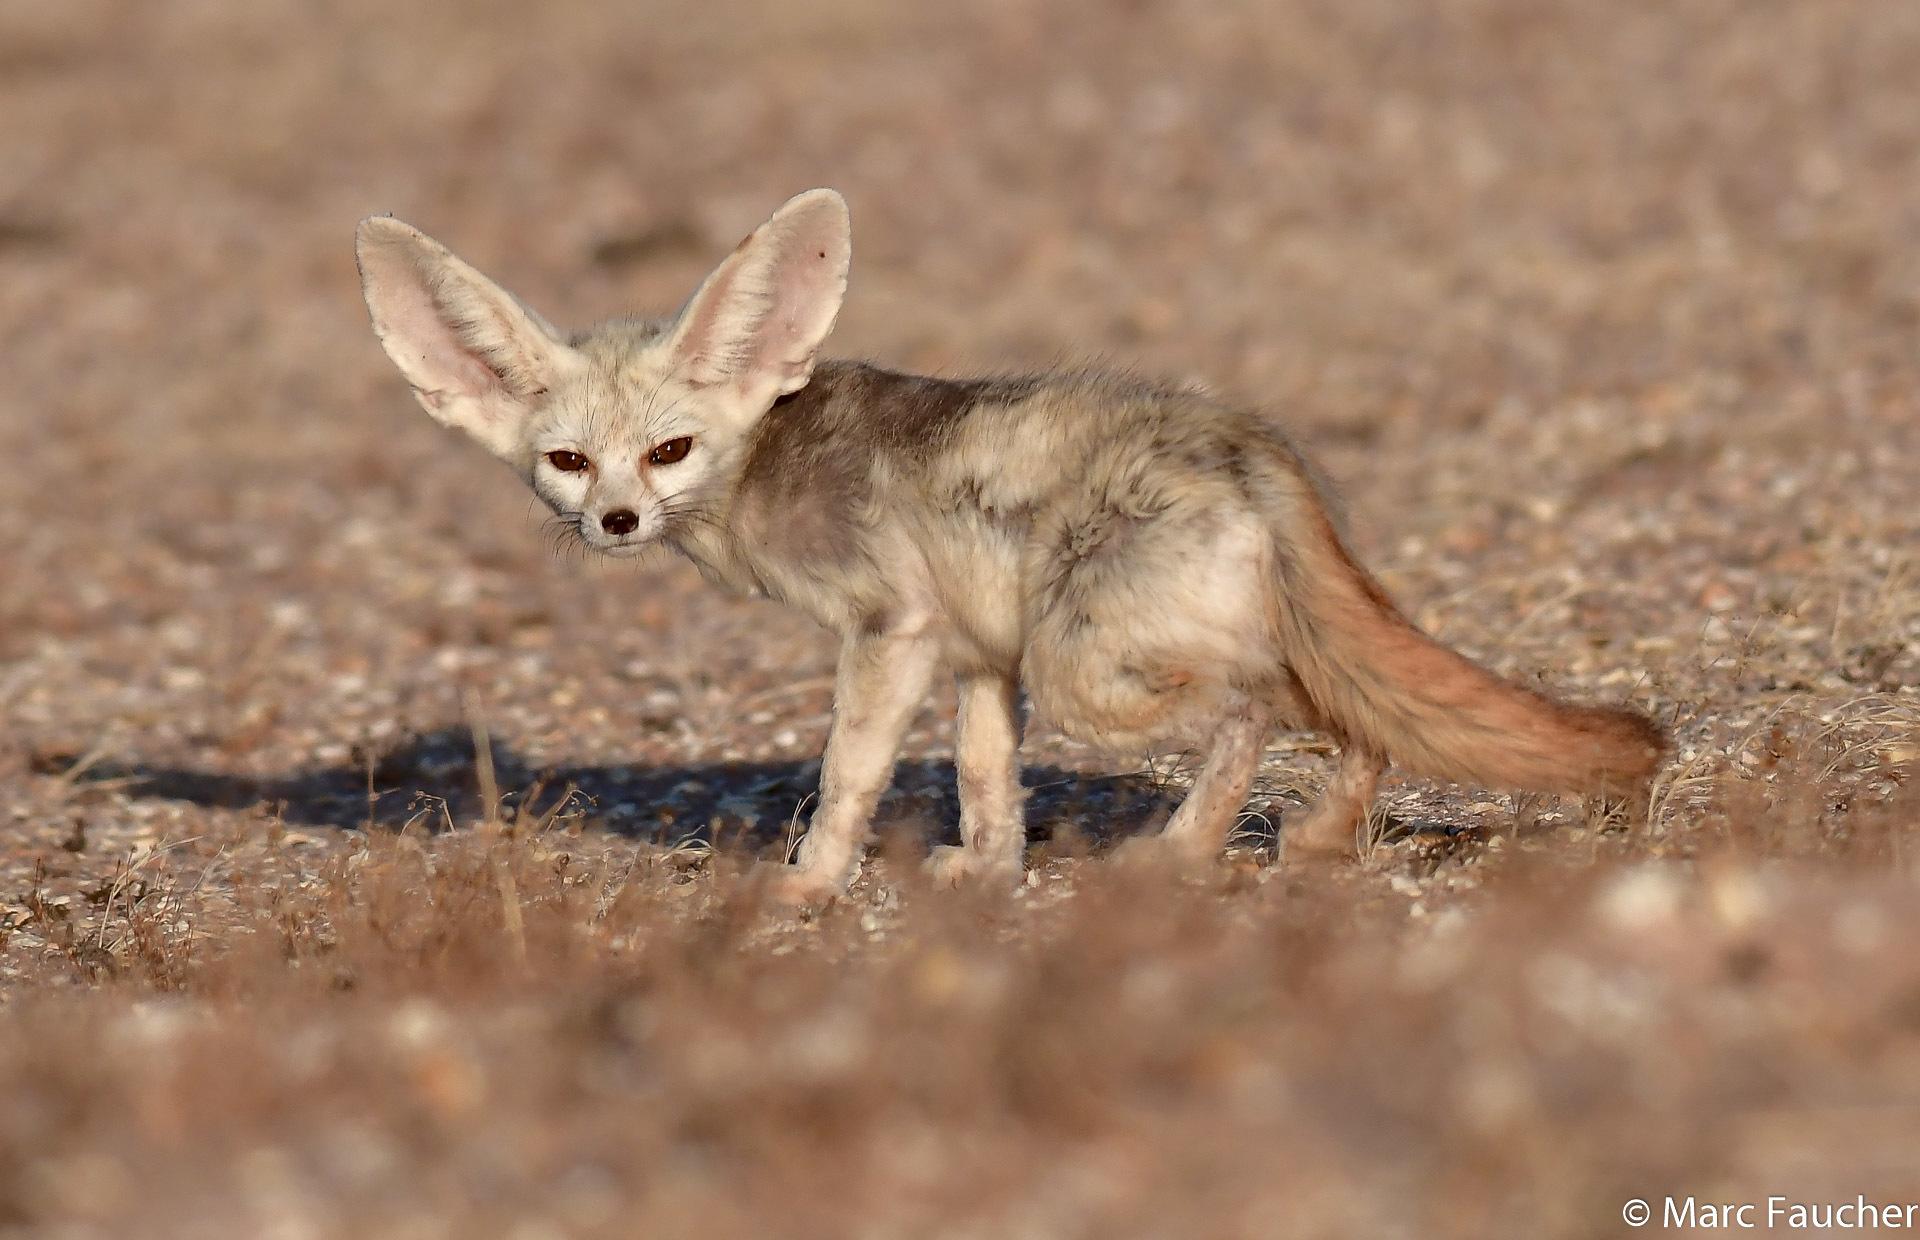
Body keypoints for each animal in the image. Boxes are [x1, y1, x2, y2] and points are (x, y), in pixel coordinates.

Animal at [354, 188, 1665, 903]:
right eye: (570, 462)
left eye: (670, 451)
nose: (618, 522)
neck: (771, 457)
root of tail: (1251, 441)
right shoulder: (978, 655)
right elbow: (988, 781)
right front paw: (988, 876)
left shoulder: (891, 629)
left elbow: (847, 775)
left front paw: (810, 883)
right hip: (1070, 656)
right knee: (1345, 715)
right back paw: (1317, 833)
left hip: (1090, 670)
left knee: (1269, 706)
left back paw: (1192, 847)